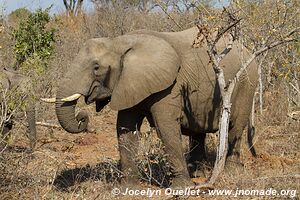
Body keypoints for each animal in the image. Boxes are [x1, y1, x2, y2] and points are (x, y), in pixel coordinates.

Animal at [50, 26, 256, 188]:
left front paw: (181, 189)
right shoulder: (129, 81)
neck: (119, 42)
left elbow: (165, 127)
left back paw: (230, 172)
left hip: (245, 85)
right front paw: (128, 187)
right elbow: (125, 128)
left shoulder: (169, 85)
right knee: (198, 132)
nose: (82, 117)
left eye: (96, 67)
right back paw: (197, 173)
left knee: (235, 128)